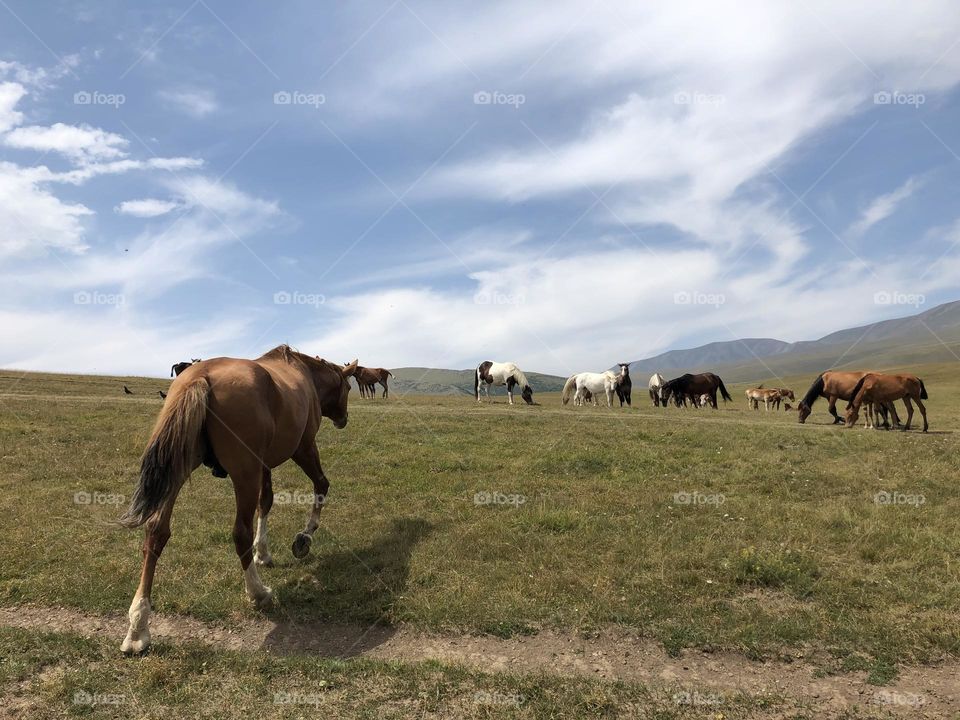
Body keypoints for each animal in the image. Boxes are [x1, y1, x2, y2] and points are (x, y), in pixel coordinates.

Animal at [119, 346, 360, 656]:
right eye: (348, 387)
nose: (344, 418)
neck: (303, 374)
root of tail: (199, 376)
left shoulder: (264, 464)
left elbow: (266, 502)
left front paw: (263, 552)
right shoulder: (303, 448)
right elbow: (321, 485)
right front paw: (304, 537)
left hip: (179, 468)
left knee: (156, 532)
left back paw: (138, 625)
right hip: (245, 474)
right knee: (239, 533)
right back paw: (257, 592)